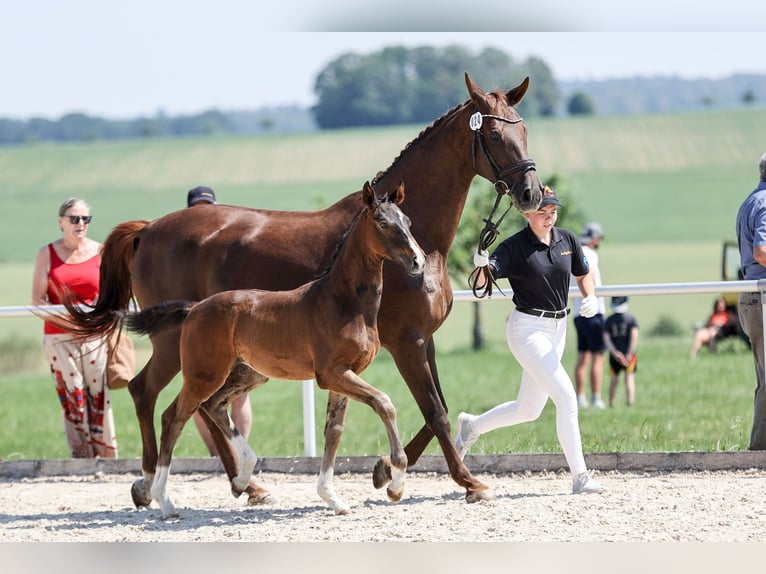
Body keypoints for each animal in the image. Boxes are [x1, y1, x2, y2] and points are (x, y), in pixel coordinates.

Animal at [121, 181, 425, 516]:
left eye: (408, 222)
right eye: (383, 223)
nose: (418, 261)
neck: (344, 302)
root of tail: (194, 308)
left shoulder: (346, 374)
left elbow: (334, 430)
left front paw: (332, 498)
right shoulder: (332, 374)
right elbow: (384, 403)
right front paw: (396, 484)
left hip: (248, 373)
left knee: (213, 406)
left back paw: (243, 478)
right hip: (203, 374)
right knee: (173, 417)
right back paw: (164, 499)